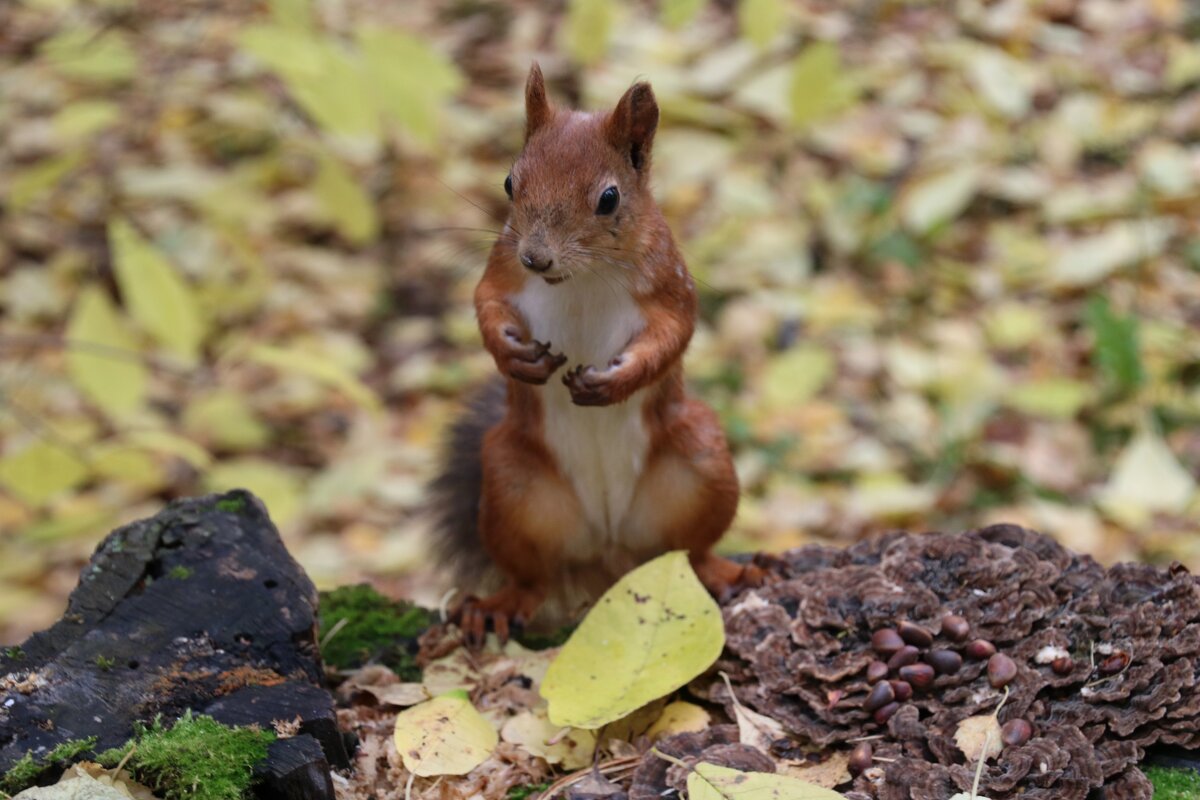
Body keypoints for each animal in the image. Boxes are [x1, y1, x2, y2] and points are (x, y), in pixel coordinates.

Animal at [436, 65, 763, 647]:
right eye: (509, 182)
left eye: (609, 198)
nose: (536, 257)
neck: (581, 278)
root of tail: (613, 551)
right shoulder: (503, 268)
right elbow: (485, 304)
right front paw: (513, 355)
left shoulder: (669, 284)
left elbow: (674, 334)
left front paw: (615, 381)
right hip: (509, 485)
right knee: (533, 578)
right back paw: (496, 606)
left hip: (703, 464)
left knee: (692, 551)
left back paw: (724, 572)